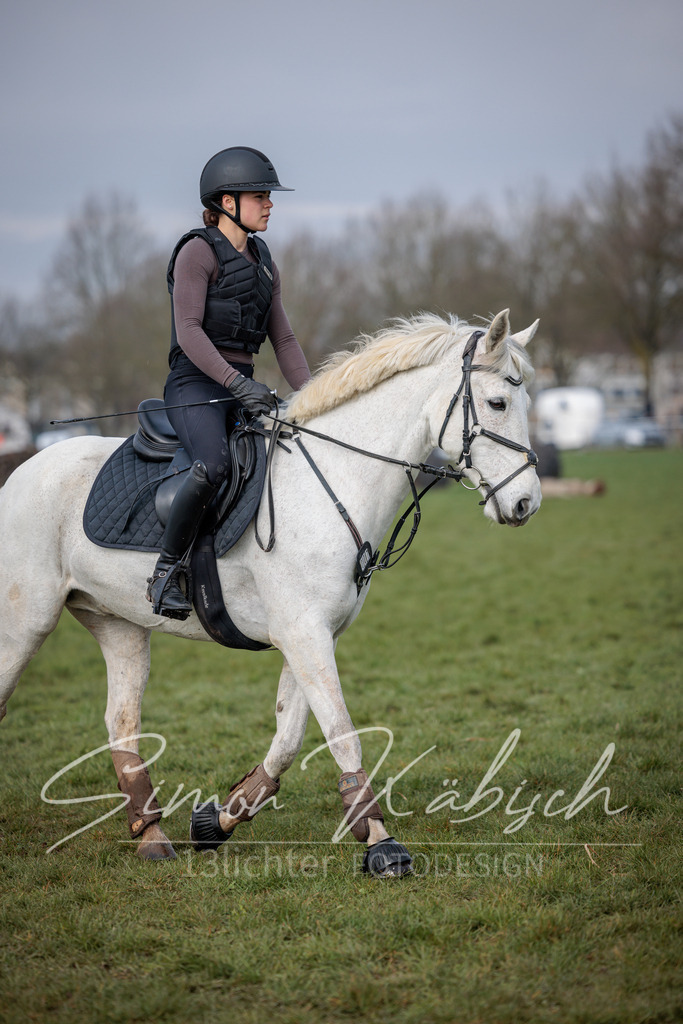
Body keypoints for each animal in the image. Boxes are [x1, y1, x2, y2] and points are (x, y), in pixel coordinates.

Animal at [0, 308, 541, 876]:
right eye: (498, 403)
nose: (526, 503)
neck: (336, 480)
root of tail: (21, 471)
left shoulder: (313, 636)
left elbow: (289, 738)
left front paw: (219, 821)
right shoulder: (305, 635)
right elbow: (342, 733)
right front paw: (380, 842)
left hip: (119, 626)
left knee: (121, 723)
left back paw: (151, 835)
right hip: (25, 623)